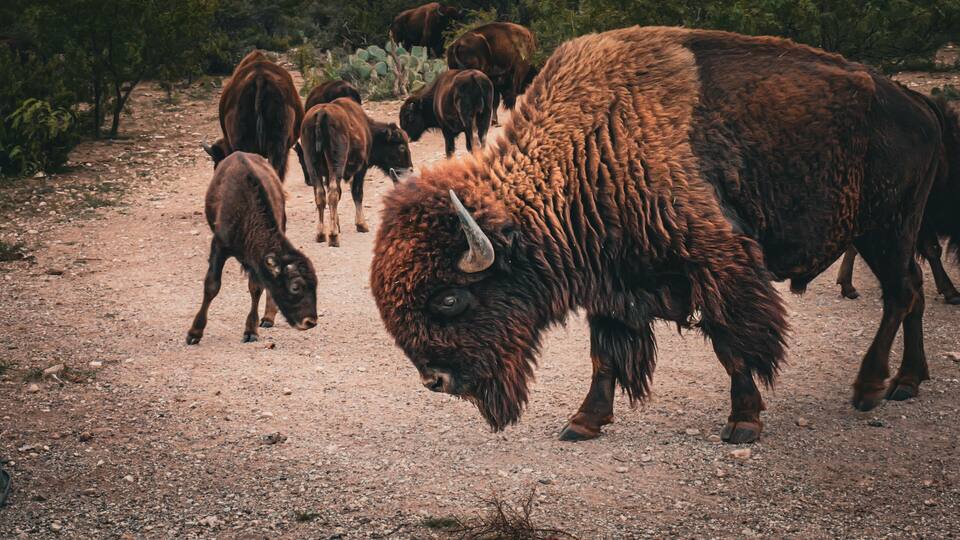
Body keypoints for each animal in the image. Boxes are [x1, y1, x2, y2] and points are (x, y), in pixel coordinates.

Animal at [187, 152, 317, 345]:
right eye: (295, 287)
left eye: (315, 284)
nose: (310, 321)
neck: (247, 212)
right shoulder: (219, 247)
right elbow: (212, 286)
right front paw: (194, 334)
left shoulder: (254, 260)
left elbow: (256, 288)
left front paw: (250, 331)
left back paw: (268, 318)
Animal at [300, 98, 413, 246]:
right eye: (401, 147)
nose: (410, 169)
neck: (368, 130)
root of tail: (321, 113)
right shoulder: (361, 169)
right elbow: (357, 193)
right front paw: (362, 225)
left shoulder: (327, 175)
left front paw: (338, 224)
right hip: (336, 165)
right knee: (333, 194)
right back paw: (333, 237)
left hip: (313, 167)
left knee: (321, 195)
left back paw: (320, 235)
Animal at [371, 27, 953, 444]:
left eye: (450, 298)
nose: (436, 381)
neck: (591, 149)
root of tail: (918, 103)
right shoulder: (611, 283)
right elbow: (605, 354)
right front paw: (582, 423)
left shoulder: (719, 265)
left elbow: (733, 344)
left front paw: (743, 423)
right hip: (894, 234)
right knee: (914, 293)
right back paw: (907, 383)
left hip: (885, 229)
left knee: (901, 294)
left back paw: (869, 388)